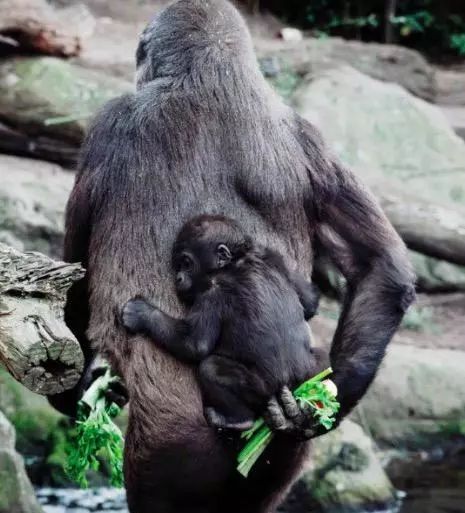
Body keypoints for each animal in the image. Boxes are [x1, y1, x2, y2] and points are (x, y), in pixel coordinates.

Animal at [121, 214, 320, 430]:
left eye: (186, 263)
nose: (178, 278)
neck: (236, 261)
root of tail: (290, 382)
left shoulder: (212, 292)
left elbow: (194, 344)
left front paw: (141, 314)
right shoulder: (273, 255)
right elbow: (309, 302)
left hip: (261, 386)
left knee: (211, 368)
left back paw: (237, 420)